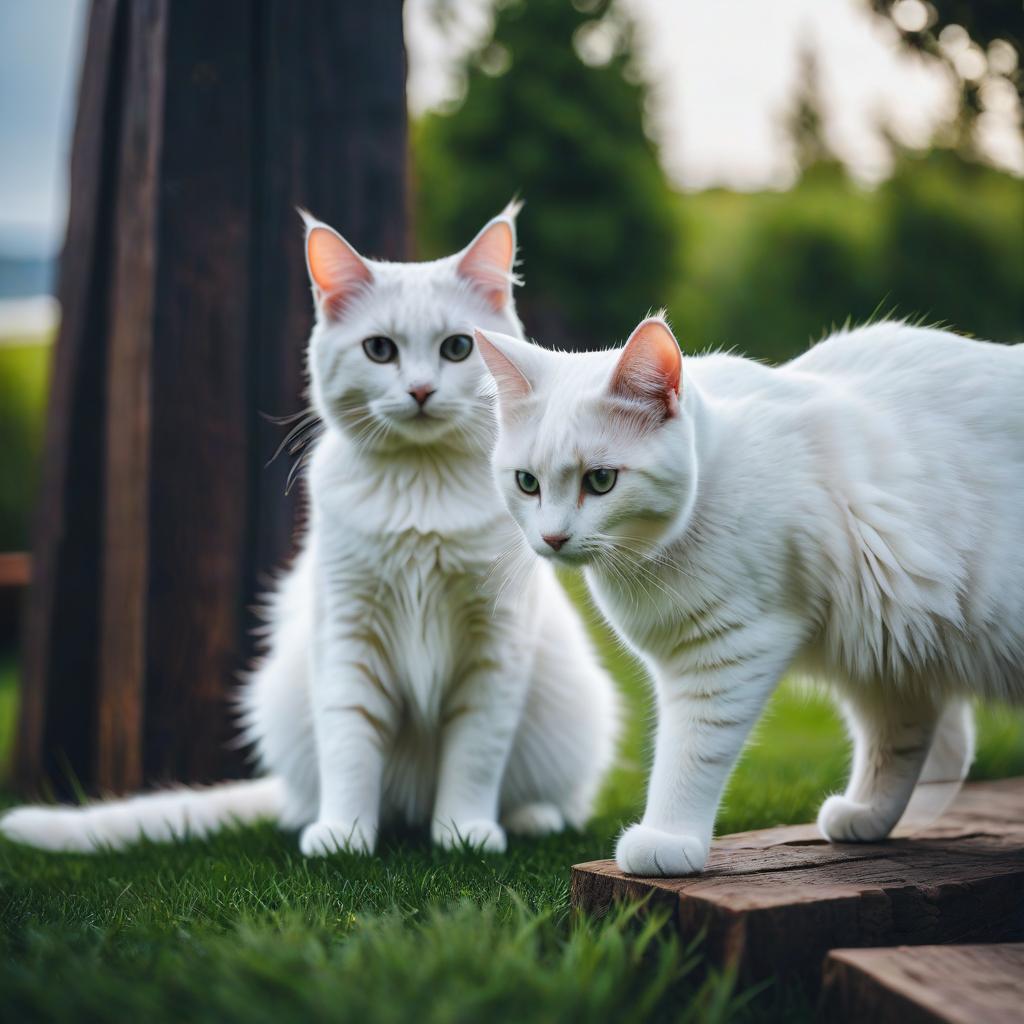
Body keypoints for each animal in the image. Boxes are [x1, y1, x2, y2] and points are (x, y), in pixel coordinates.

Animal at [0, 205, 614, 856]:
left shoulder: (495, 646)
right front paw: (343, 836)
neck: (421, 489)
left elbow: (475, 752)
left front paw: (464, 832)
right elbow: (348, 745)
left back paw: (528, 818)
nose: (421, 390)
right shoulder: (347, 632)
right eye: (379, 350)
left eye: (457, 348)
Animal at [473, 315, 1024, 876]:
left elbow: (690, 752)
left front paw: (668, 839)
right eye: (527, 483)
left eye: (601, 480)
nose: (553, 538)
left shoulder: (727, 652)